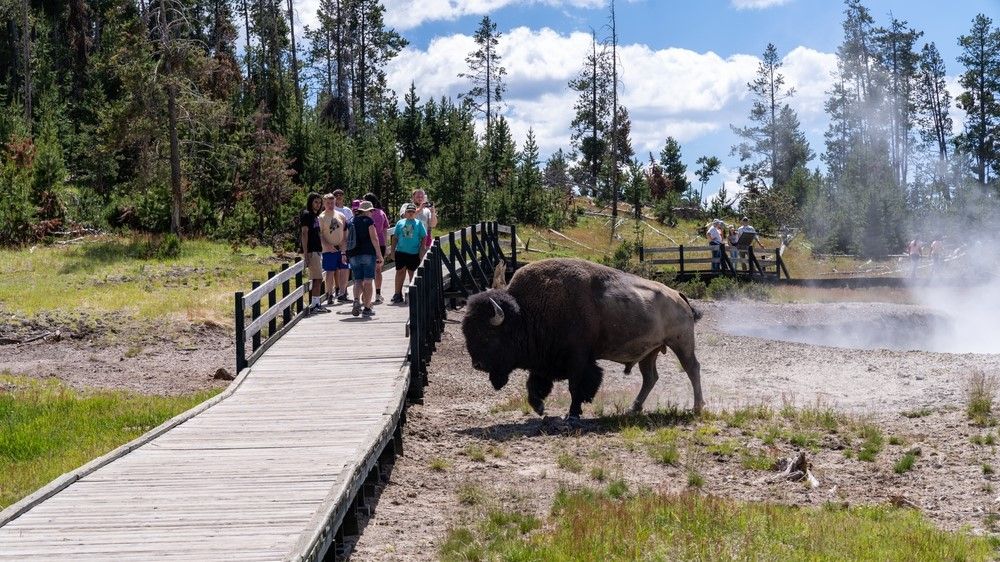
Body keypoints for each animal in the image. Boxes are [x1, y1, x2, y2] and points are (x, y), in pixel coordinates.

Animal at [462, 256, 704, 418]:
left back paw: (697, 407)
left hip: (681, 343)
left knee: (692, 368)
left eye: (487, 334)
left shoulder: (578, 359)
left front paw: (573, 413)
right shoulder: (543, 362)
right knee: (650, 377)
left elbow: (576, 385)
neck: (526, 312)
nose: (478, 365)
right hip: (650, 352)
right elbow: (534, 386)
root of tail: (679, 295)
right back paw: (633, 409)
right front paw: (540, 409)